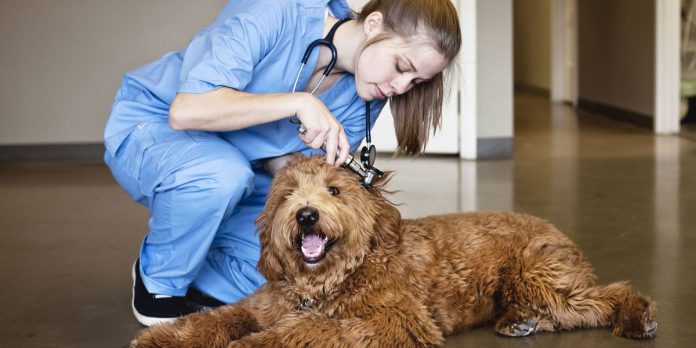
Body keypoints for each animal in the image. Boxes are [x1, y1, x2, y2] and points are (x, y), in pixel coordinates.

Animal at [130, 156, 656, 348]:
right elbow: (215, 319)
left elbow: (311, 328)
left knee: (604, 297)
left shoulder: (398, 318)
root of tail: (556, 228)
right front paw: (163, 338)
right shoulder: (260, 306)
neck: (326, 281)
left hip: (537, 276)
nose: (306, 216)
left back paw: (637, 317)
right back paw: (519, 321)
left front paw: (256, 345)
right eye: (287, 193)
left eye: (335, 190)